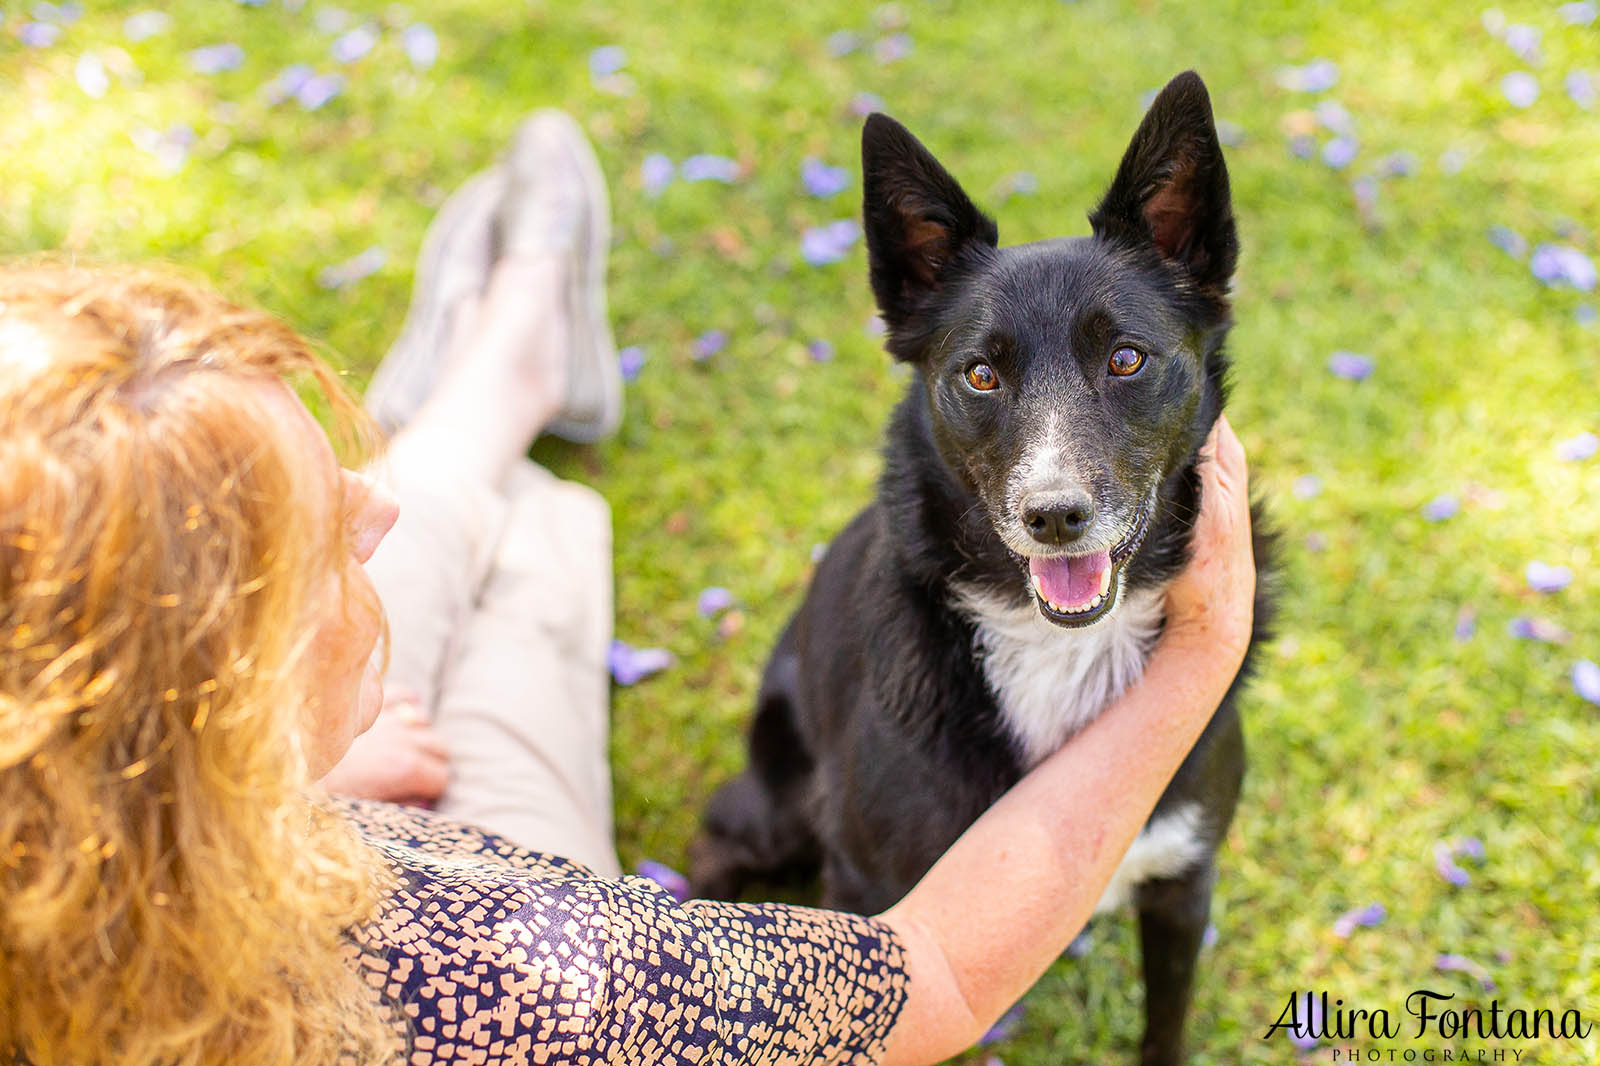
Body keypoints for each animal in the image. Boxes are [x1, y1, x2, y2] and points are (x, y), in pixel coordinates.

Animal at [694, 70, 1267, 1056]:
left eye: (1127, 358)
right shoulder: (876, 910)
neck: (1057, 648)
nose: (1054, 516)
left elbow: (1165, 1025)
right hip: (770, 812)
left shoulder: (1183, 879)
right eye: (981, 376)